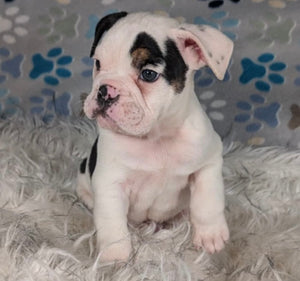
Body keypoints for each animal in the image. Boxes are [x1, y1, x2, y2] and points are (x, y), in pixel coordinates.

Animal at [76, 10, 233, 260]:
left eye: (148, 74)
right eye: (98, 63)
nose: (104, 90)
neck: (156, 135)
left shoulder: (208, 163)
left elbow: (208, 199)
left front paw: (211, 234)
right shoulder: (111, 183)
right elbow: (112, 222)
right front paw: (115, 255)